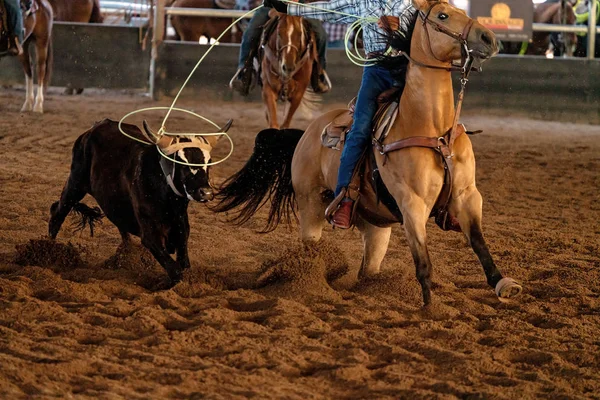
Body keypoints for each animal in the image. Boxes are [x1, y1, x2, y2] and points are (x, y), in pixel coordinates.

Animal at [214, 0, 520, 306]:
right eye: (442, 16)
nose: (489, 39)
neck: (432, 128)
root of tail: (307, 134)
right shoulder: (412, 202)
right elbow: (423, 261)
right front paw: (430, 308)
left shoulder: (467, 195)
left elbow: (479, 242)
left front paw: (503, 283)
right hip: (311, 205)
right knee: (311, 249)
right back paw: (308, 283)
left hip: (377, 227)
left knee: (367, 270)